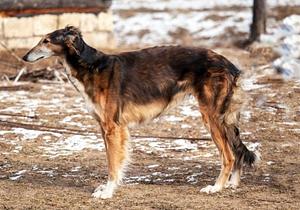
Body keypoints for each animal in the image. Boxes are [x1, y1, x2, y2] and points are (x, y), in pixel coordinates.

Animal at [22, 25, 260, 199]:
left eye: (46, 41)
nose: (24, 57)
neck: (91, 66)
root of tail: (229, 64)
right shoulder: (105, 127)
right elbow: (114, 161)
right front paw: (108, 188)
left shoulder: (112, 127)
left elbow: (113, 163)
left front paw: (108, 192)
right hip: (223, 118)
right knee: (236, 150)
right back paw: (231, 184)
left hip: (211, 117)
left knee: (229, 155)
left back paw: (216, 187)